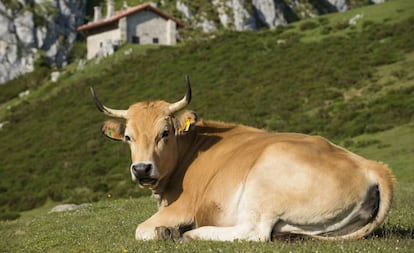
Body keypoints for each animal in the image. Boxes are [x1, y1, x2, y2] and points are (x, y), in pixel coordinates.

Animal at [90, 76, 394, 241]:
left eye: (164, 133)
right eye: (128, 137)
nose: (142, 169)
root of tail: (373, 166)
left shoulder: (185, 206)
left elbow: (141, 229)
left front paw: (168, 231)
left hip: (265, 179)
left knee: (254, 232)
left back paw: (188, 234)